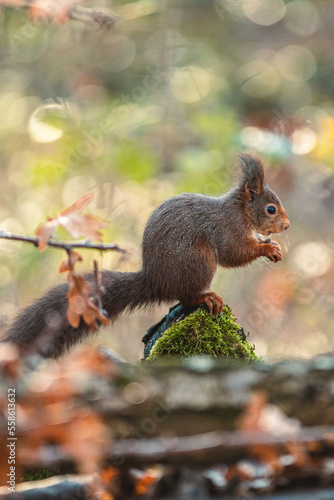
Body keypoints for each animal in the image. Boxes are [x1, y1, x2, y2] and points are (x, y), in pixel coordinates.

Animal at [1, 154, 288, 358]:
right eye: (271, 209)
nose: (286, 226)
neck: (240, 212)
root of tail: (154, 281)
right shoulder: (226, 229)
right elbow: (233, 254)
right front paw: (267, 249)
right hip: (199, 263)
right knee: (186, 296)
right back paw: (206, 297)